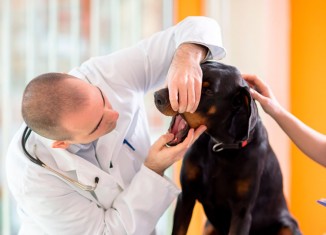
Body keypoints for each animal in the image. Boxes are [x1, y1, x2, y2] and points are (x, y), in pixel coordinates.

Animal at [154, 61, 302, 235]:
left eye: (208, 91)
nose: (158, 97)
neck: (220, 147)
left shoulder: (242, 213)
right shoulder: (186, 196)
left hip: (288, 226)